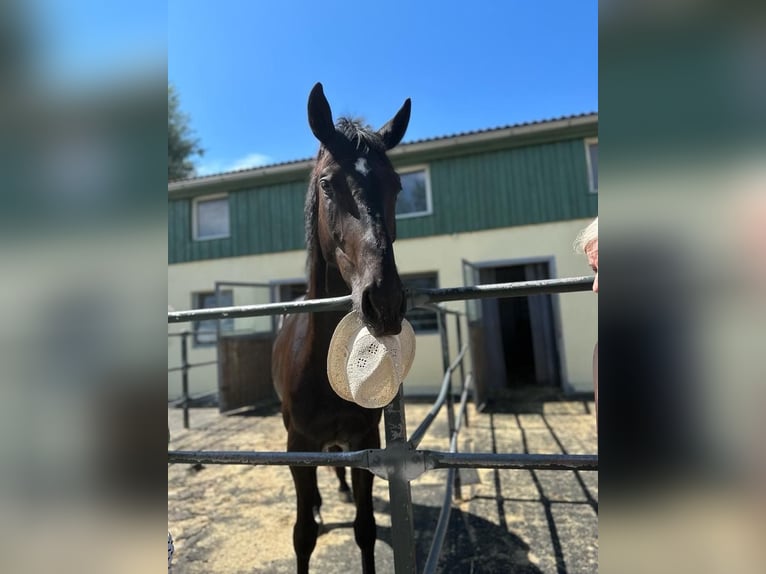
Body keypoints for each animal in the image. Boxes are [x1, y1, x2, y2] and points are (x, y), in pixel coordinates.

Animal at [272, 82, 412, 574]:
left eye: (396, 185)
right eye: (328, 183)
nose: (384, 301)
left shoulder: (365, 442)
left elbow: (365, 529)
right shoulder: (297, 447)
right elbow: (302, 535)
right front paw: (310, 513)